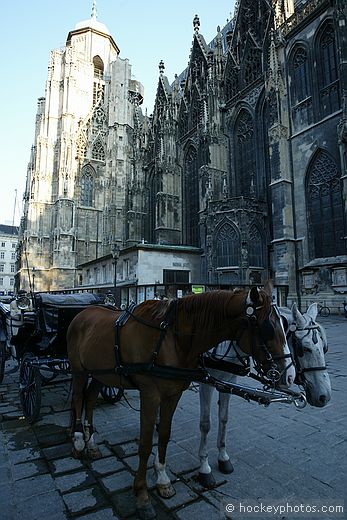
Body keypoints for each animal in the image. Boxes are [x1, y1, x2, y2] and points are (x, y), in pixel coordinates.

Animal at [67, 282, 294, 516]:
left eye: (286, 326)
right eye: (268, 328)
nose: (290, 375)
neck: (172, 339)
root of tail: (84, 312)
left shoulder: (173, 394)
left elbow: (165, 434)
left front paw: (162, 478)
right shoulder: (150, 395)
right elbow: (146, 444)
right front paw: (142, 494)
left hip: (101, 373)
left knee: (90, 398)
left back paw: (92, 444)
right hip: (78, 369)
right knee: (77, 397)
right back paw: (78, 439)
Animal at [198, 302, 332, 490]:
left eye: (324, 348)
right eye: (303, 348)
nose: (324, 396)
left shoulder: (227, 381)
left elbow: (224, 419)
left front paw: (223, 458)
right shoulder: (206, 382)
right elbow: (205, 424)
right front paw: (204, 468)